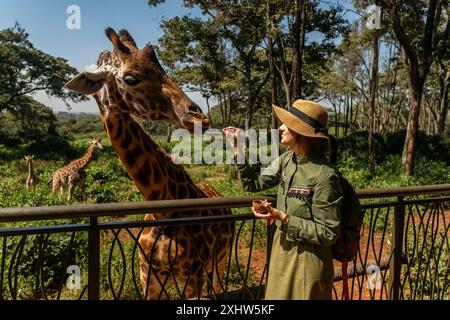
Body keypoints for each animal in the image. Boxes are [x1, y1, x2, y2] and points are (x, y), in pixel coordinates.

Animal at [66, 28, 236, 300]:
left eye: (163, 69)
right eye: (130, 78)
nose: (198, 116)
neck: (162, 209)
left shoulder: (193, 277)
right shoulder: (148, 276)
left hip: (220, 261)